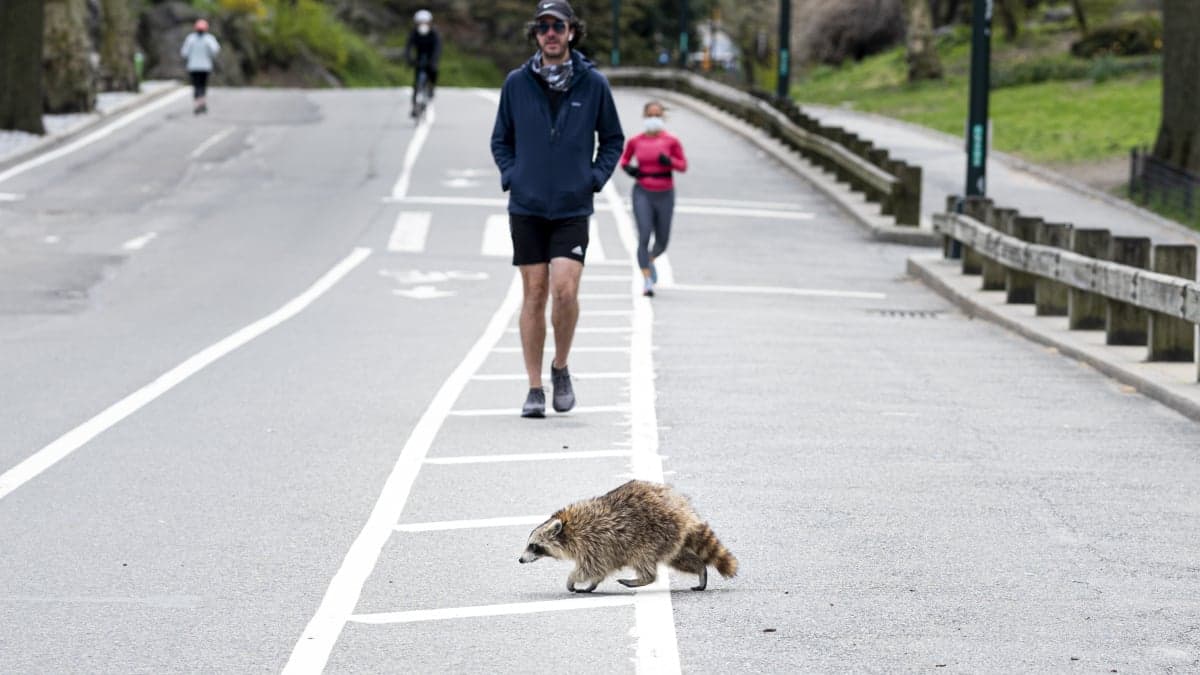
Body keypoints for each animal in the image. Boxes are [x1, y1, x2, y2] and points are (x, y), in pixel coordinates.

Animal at [518, 480, 738, 593]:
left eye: (533, 546)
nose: (520, 560)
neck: (567, 528)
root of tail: (682, 510)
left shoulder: (593, 541)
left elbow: (590, 567)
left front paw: (572, 579)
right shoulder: (598, 547)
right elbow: (599, 569)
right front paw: (592, 584)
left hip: (654, 533)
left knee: (644, 560)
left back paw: (642, 579)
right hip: (671, 539)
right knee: (680, 558)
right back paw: (700, 569)